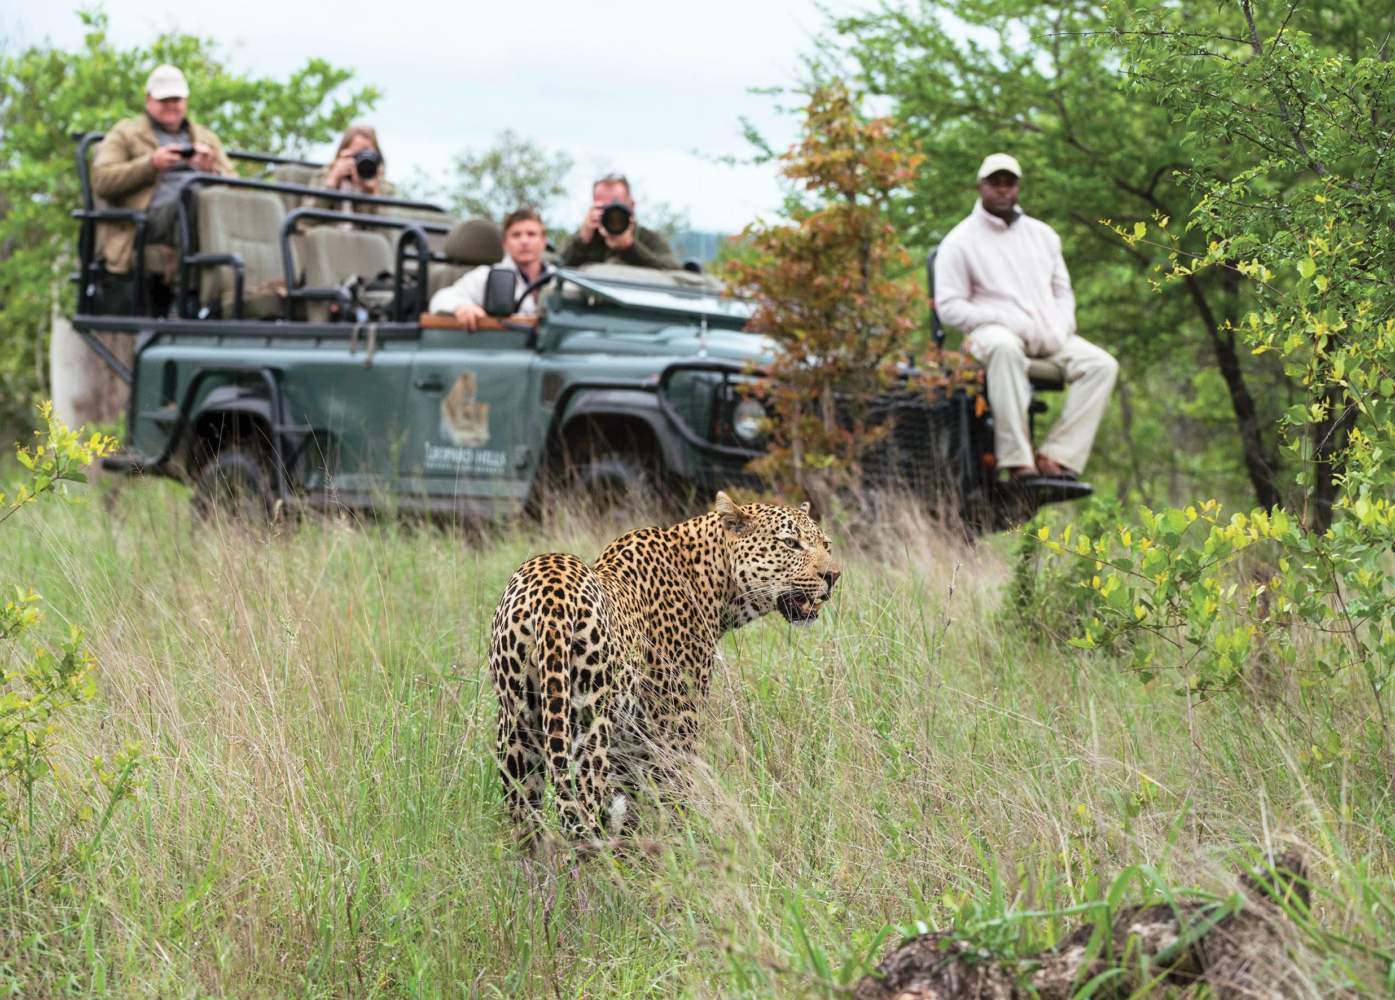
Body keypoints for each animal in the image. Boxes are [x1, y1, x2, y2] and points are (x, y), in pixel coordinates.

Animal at [487, 491, 840, 845]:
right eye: (791, 543)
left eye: (826, 544)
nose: (833, 576)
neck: (715, 581)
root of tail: (548, 599)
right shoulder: (674, 728)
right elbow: (675, 801)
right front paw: (683, 849)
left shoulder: (630, 747)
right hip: (586, 727)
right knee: (583, 815)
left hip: (517, 730)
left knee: (526, 824)